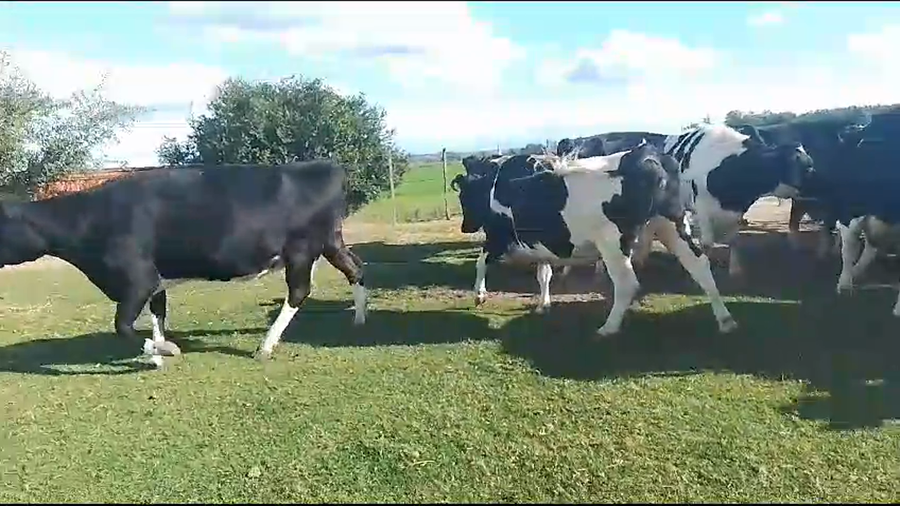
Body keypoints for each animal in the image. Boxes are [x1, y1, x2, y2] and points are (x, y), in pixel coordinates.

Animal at [0, 160, 367, 368]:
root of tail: (325, 165)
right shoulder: (155, 281)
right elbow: (156, 317)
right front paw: (156, 356)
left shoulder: (138, 279)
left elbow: (123, 326)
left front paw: (168, 350)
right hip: (330, 241)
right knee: (355, 267)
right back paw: (359, 319)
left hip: (302, 248)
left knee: (299, 291)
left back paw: (265, 347)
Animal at [482, 141, 738, 335]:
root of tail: (648, 156)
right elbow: (544, 272)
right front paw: (543, 304)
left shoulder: (497, 235)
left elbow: (482, 261)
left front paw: (480, 295)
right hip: (672, 225)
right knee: (699, 265)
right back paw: (725, 320)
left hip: (613, 242)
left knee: (626, 283)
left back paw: (608, 328)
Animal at [630, 124, 816, 279]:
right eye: (806, 168)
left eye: (810, 165)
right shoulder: (702, 208)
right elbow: (707, 243)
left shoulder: (737, 211)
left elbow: (734, 240)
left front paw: (735, 270)